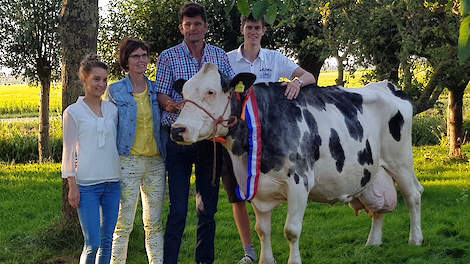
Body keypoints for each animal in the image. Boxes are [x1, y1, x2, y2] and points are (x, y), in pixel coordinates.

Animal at [171, 64, 424, 264]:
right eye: (182, 93)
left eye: (211, 91)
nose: (177, 130)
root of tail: (387, 85)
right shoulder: (256, 187)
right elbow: (262, 230)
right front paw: (266, 260)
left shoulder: (299, 181)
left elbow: (291, 231)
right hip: (373, 171)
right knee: (378, 207)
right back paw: (373, 242)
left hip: (400, 160)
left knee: (413, 195)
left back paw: (415, 238)